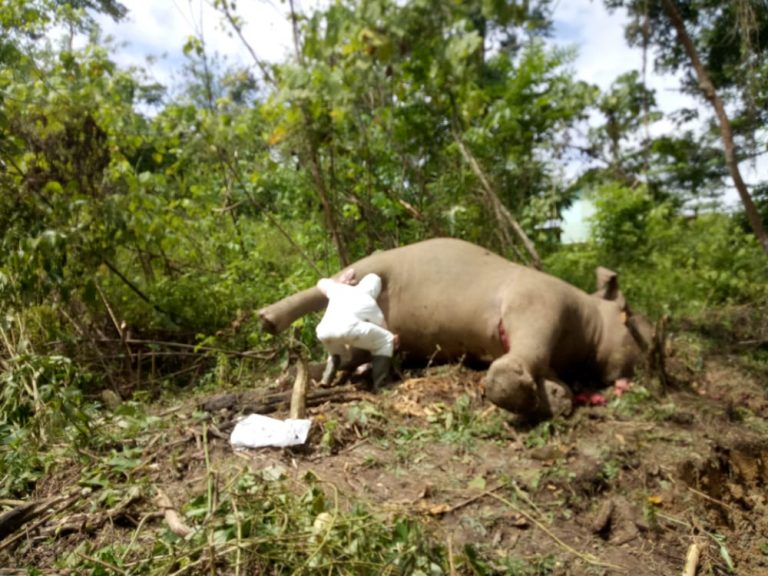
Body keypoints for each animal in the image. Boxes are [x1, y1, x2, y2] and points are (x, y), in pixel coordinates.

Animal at [260, 237, 652, 418]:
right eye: (636, 323)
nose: (653, 357)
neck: (589, 321)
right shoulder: (539, 305)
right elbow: (518, 361)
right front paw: (539, 396)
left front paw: (555, 395)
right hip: (376, 264)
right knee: (329, 283)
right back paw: (269, 318)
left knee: (348, 352)